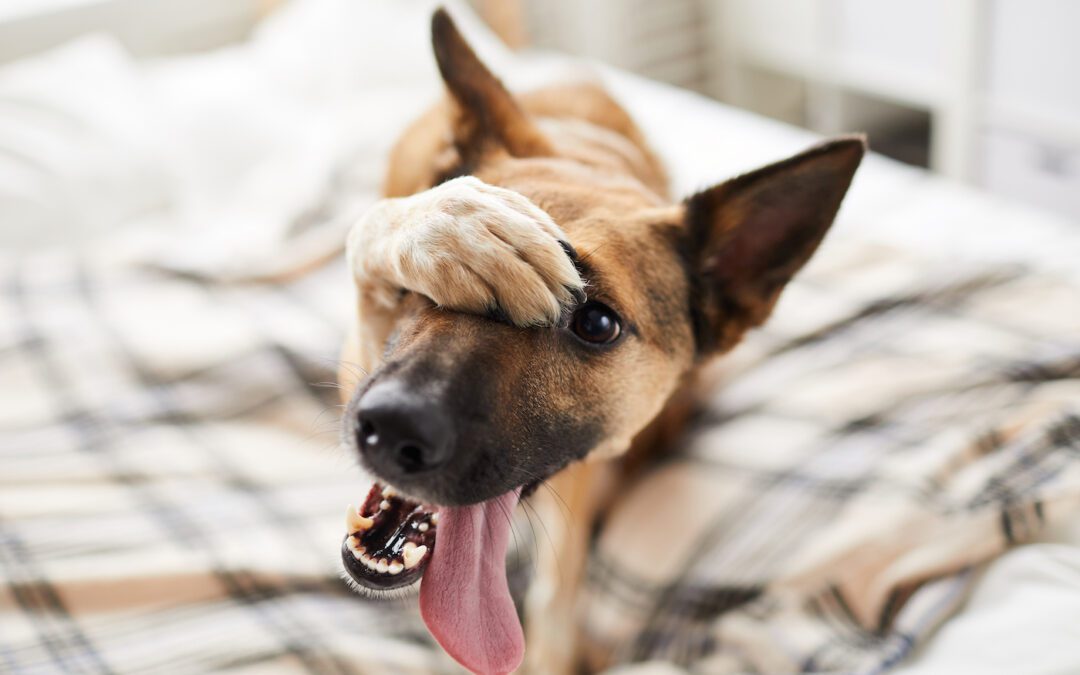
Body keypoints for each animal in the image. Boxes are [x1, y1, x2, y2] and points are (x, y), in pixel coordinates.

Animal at [334, 9, 859, 673]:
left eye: (597, 325)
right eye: (428, 286)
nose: (393, 427)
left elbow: (558, 595)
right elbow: (379, 229)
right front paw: (453, 225)